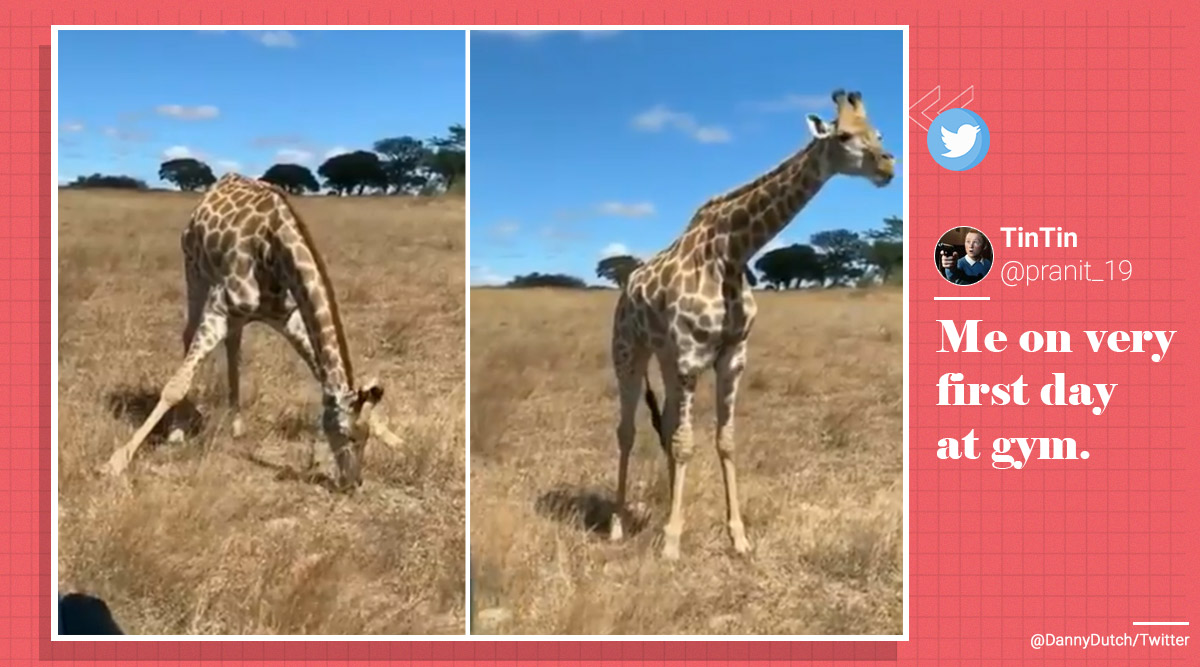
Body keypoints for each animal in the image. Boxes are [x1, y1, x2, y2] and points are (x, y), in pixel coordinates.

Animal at [98, 171, 403, 489]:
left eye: (366, 436)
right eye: (348, 435)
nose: (353, 483)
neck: (274, 252)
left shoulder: (287, 317)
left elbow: (320, 369)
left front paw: (394, 438)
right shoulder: (218, 308)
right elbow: (175, 386)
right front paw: (116, 461)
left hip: (235, 312)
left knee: (234, 345)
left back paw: (236, 424)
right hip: (194, 270)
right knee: (188, 334)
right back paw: (178, 430)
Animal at [609, 88, 892, 556]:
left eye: (879, 134)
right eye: (845, 136)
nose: (888, 165)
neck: (733, 251)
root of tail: (626, 285)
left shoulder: (732, 356)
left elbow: (723, 440)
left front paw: (737, 537)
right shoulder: (690, 357)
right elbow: (686, 443)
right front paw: (672, 544)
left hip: (666, 359)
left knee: (664, 425)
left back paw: (667, 507)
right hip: (629, 352)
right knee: (627, 431)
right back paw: (617, 524)